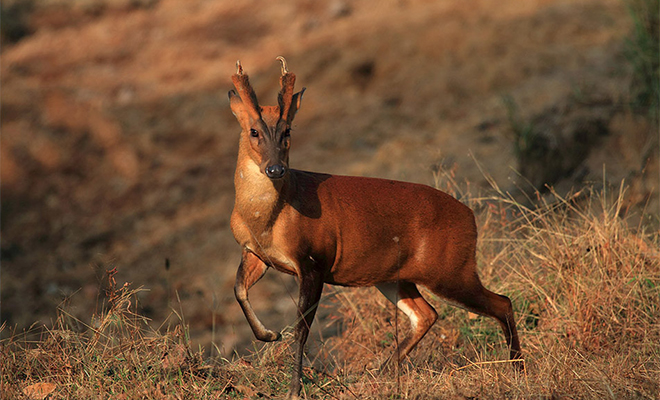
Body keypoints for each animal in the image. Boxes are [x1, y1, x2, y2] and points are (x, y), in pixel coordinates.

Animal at [229, 57, 524, 398]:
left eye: (287, 130)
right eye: (253, 131)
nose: (276, 169)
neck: (269, 219)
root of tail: (470, 215)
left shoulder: (314, 259)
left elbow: (302, 330)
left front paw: (294, 389)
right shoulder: (256, 254)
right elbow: (239, 290)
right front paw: (269, 334)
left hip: (451, 269)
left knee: (502, 302)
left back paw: (519, 370)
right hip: (395, 276)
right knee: (426, 314)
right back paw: (377, 374)